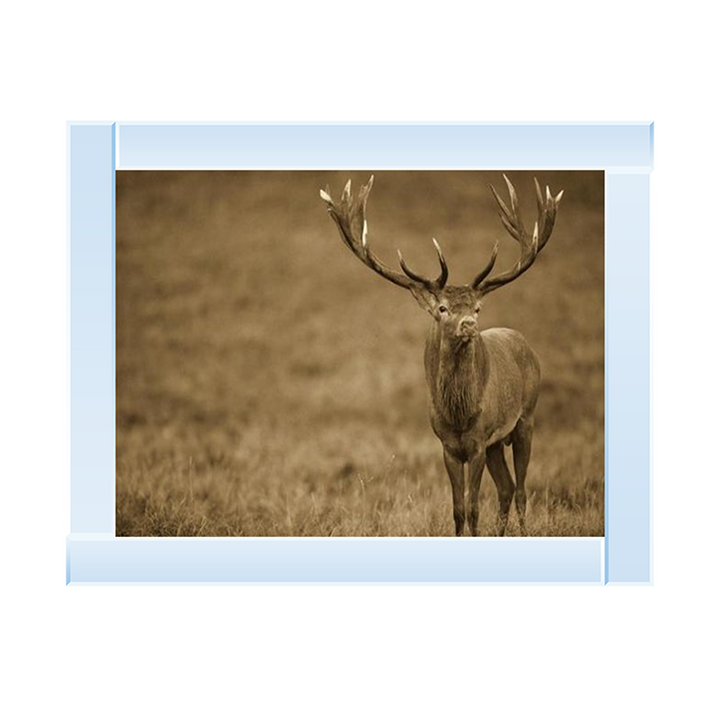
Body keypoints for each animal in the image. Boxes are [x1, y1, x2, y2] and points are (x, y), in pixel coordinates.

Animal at [320, 174, 563, 536]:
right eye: (443, 308)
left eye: (477, 307)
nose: (469, 325)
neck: (459, 415)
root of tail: (525, 344)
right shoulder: (448, 445)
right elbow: (458, 509)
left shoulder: (477, 442)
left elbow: (474, 508)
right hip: (497, 443)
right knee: (506, 488)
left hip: (526, 418)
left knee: (520, 490)